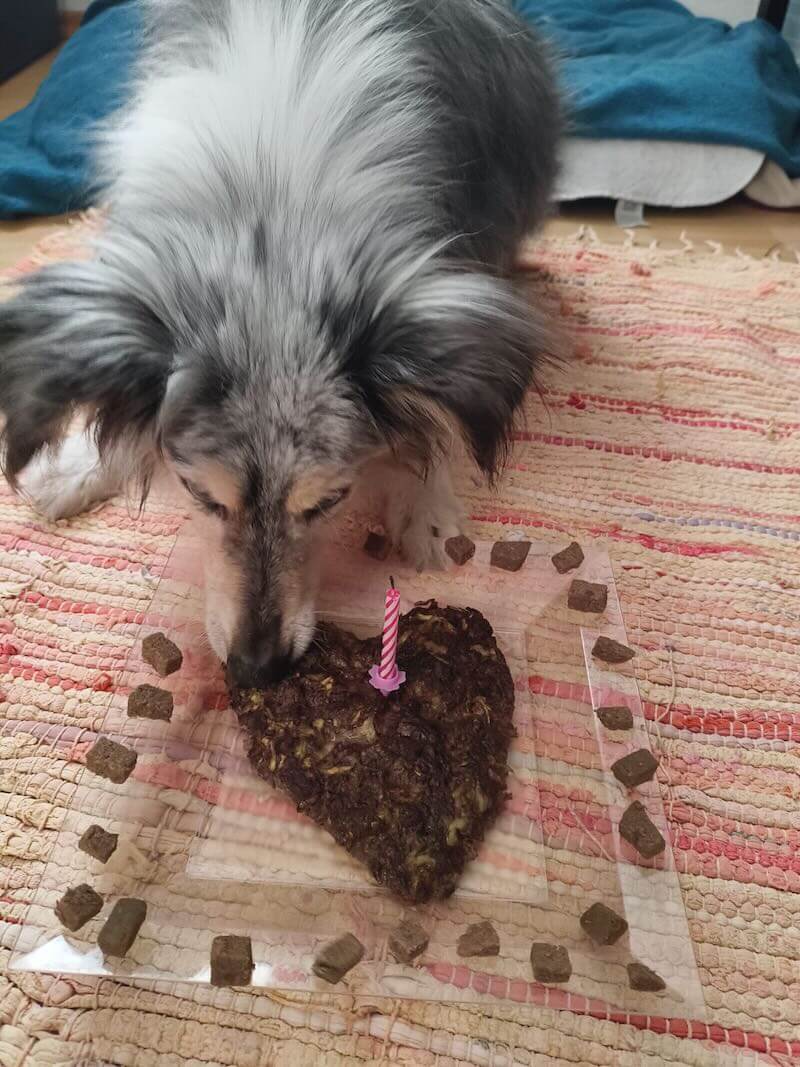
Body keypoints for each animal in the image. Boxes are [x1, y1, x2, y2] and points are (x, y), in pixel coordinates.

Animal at [0, 0, 560, 686]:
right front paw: (78, 462)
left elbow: (431, 414)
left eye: (332, 500)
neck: (271, 196)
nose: (257, 670)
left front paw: (425, 505)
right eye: (197, 494)